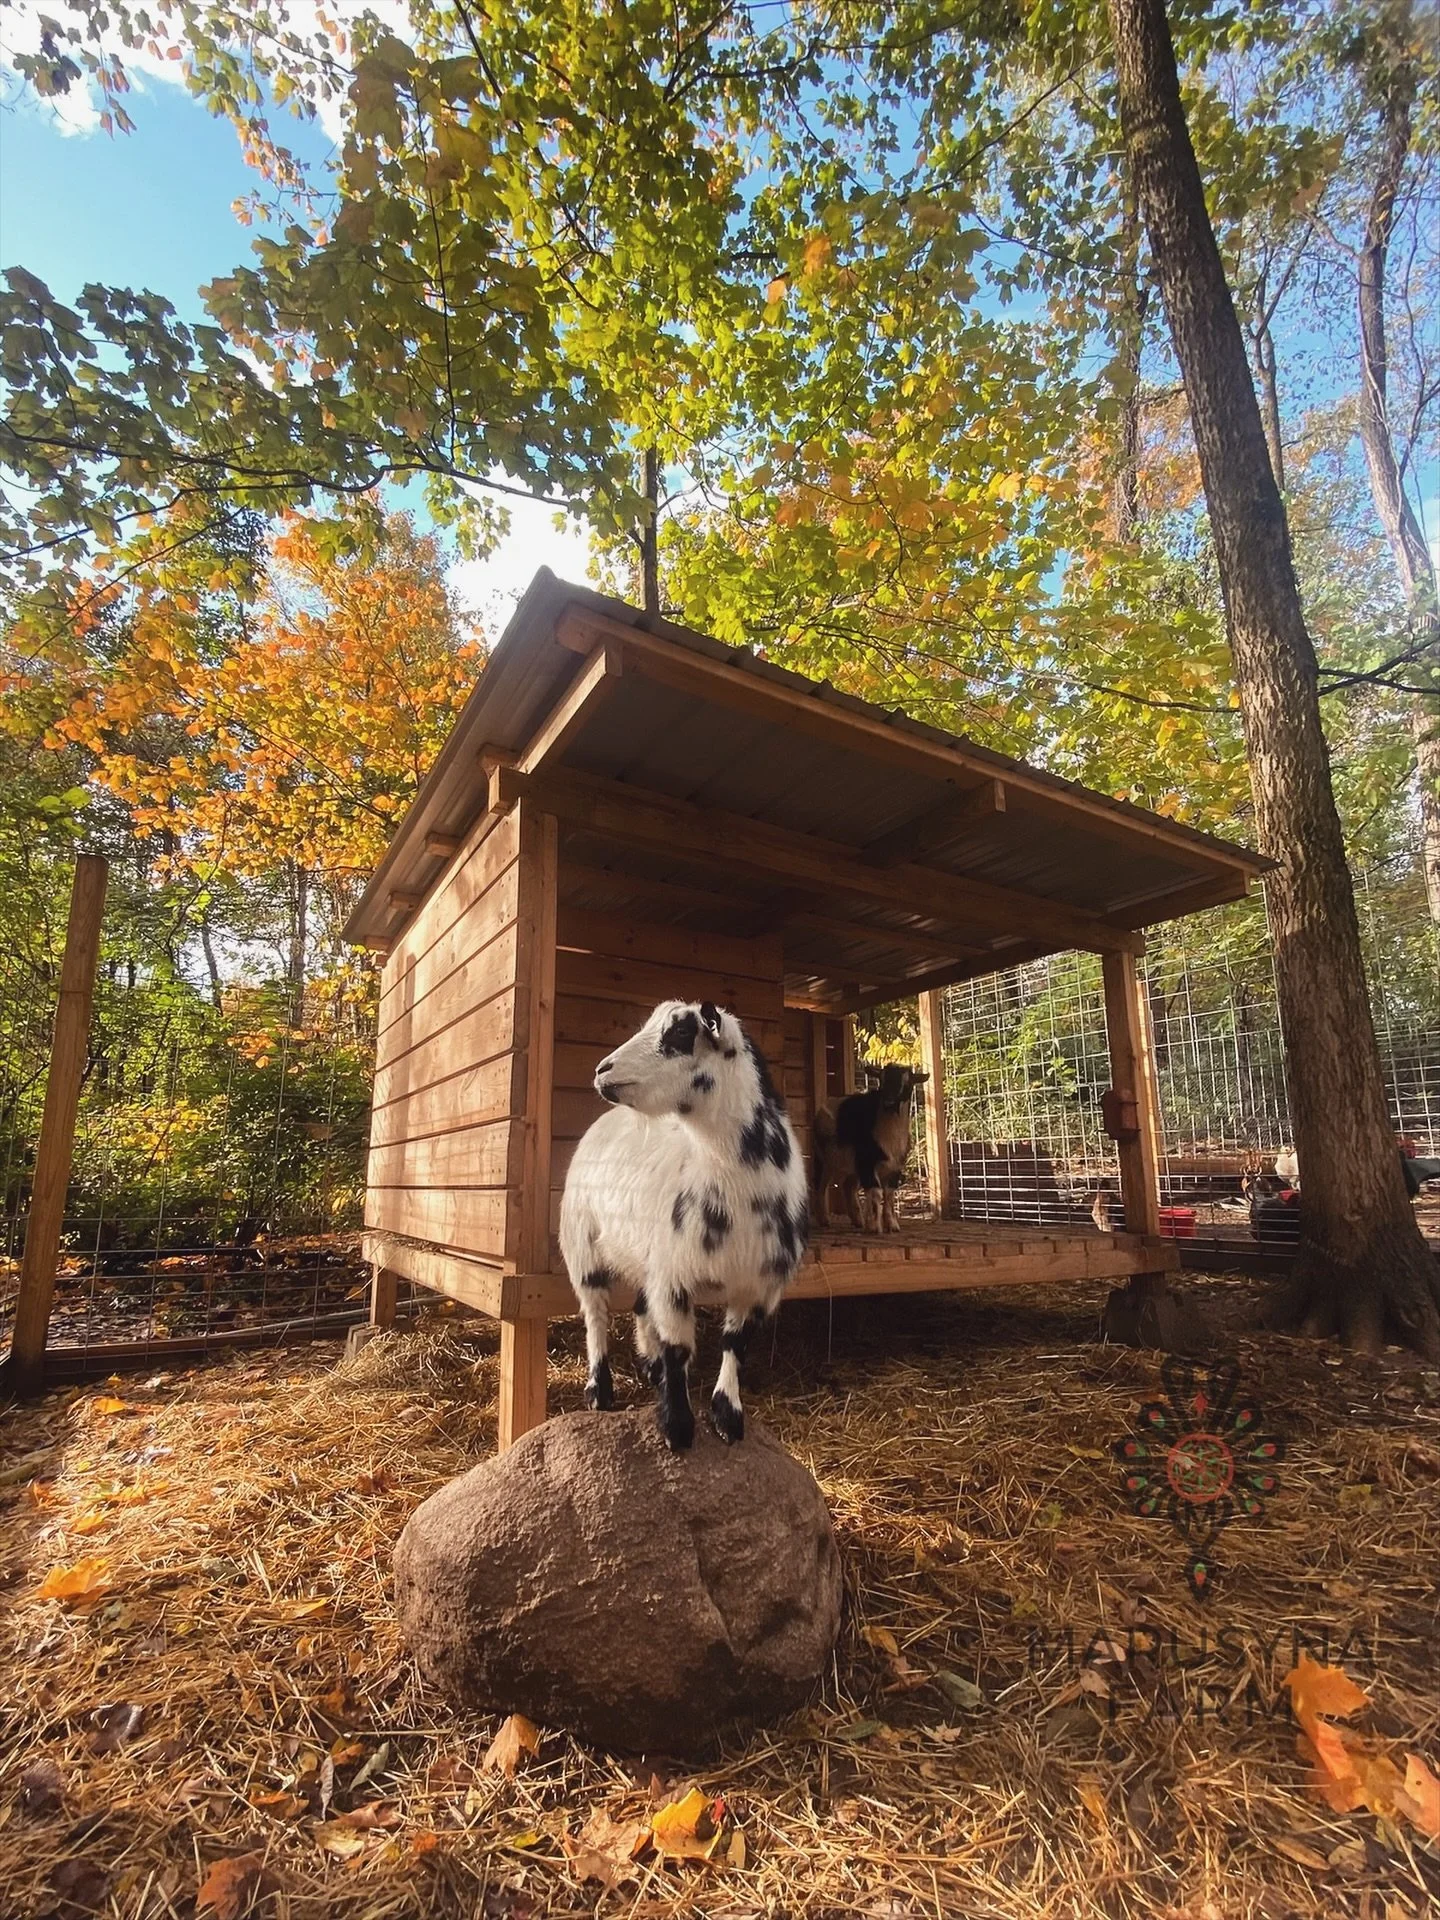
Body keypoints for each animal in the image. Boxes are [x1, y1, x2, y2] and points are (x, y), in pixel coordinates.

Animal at [560, 999, 809, 1451]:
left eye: (679, 1033)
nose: (602, 1070)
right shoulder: (672, 1275)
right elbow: (678, 1347)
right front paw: (677, 1427)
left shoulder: (759, 1283)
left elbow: (735, 1345)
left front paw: (728, 1416)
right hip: (580, 1245)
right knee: (595, 1314)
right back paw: (599, 1390)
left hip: (645, 1256)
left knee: (640, 1307)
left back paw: (649, 1366)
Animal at [813, 1063, 929, 1234]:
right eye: (882, 1080)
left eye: (907, 1083)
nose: (888, 1102)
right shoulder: (867, 1162)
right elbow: (876, 1192)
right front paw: (874, 1226)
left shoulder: (894, 1167)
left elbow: (889, 1194)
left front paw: (892, 1225)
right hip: (824, 1157)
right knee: (820, 1185)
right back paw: (824, 1220)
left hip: (852, 1165)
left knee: (848, 1186)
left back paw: (858, 1221)